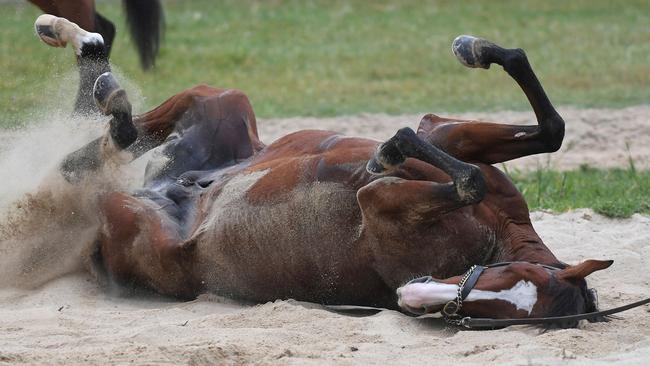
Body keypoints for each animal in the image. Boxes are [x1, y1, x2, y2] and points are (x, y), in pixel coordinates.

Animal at [36, 15, 612, 328]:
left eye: (489, 317)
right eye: (510, 277)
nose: (412, 297)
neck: (495, 232)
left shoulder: (382, 200)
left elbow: (464, 177)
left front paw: (393, 148)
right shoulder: (449, 138)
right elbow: (545, 129)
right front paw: (473, 53)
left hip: (127, 212)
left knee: (90, 157)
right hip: (221, 100)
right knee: (116, 132)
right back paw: (74, 41)